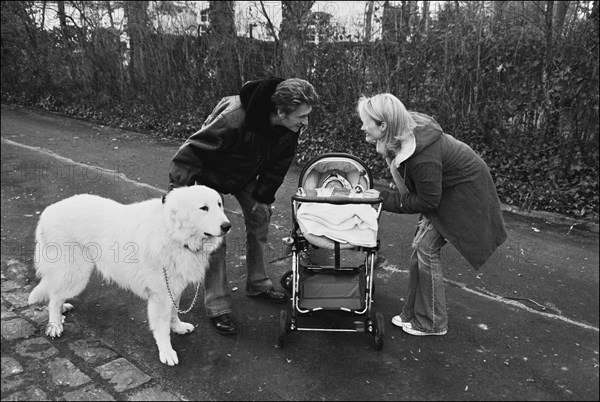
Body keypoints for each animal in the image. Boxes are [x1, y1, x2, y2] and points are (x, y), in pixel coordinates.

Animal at [27, 187, 230, 366]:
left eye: (219, 204)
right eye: (204, 208)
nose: (227, 226)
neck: (173, 234)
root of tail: (47, 212)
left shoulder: (173, 289)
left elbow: (174, 313)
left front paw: (178, 327)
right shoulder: (160, 296)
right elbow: (162, 329)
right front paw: (166, 352)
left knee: (56, 293)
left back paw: (62, 310)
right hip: (76, 274)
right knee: (54, 296)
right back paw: (55, 324)